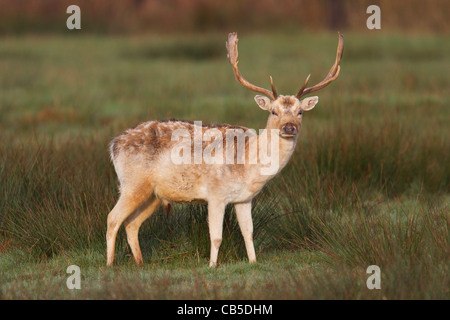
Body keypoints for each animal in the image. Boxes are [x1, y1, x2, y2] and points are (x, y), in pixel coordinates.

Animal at [106, 32, 344, 268]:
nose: (289, 127)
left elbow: (248, 232)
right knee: (113, 218)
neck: (249, 164)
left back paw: (140, 262)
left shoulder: (244, 199)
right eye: (274, 111)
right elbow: (216, 236)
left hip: (154, 194)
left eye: (300, 112)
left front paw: (253, 262)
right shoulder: (215, 194)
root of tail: (114, 144)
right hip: (133, 183)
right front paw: (212, 265)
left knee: (131, 223)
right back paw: (109, 264)